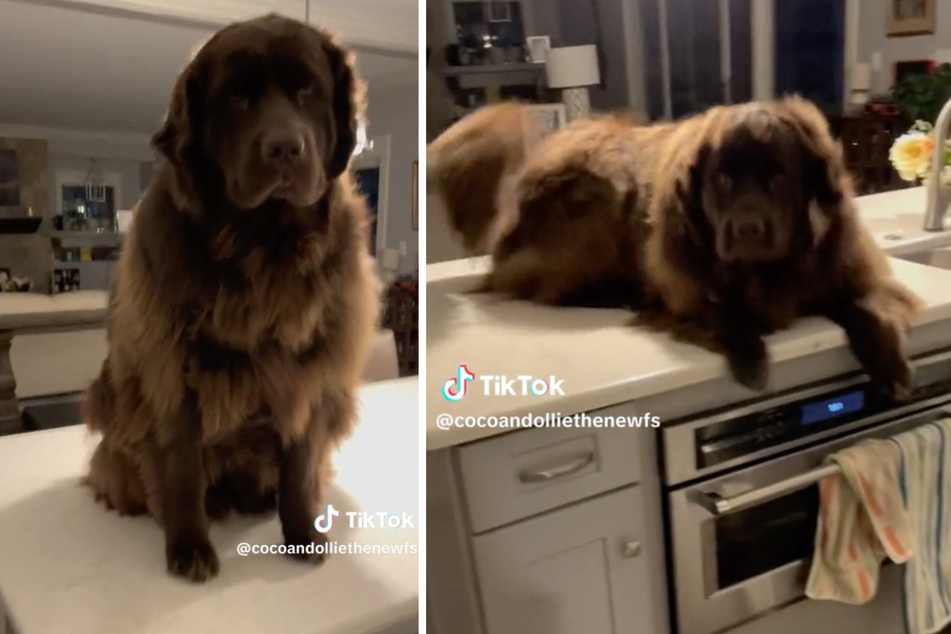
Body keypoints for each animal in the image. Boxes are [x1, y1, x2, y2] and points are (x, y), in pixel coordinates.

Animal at [81, 13, 380, 584]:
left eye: (308, 90)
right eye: (237, 97)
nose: (285, 147)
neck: (263, 245)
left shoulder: (308, 373)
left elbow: (299, 468)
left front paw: (301, 533)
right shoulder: (172, 370)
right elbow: (182, 470)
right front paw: (189, 546)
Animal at [430, 97, 924, 396]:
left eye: (778, 179)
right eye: (722, 180)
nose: (746, 228)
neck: (767, 271)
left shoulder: (841, 269)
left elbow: (865, 307)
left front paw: (891, 367)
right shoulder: (683, 288)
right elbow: (722, 311)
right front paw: (752, 360)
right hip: (601, 199)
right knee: (538, 286)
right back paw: (609, 296)